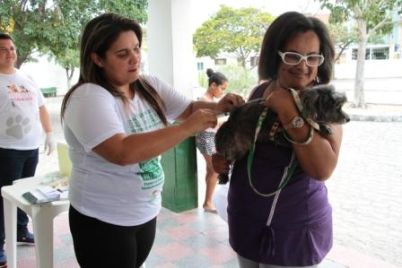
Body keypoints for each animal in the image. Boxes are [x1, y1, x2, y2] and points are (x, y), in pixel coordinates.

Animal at [215, 84, 350, 184]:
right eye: (337, 107)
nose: (348, 119)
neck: (301, 106)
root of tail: (231, 118)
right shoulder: (278, 134)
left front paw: (323, 127)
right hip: (231, 146)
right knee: (226, 160)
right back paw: (223, 175)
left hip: (241, 149)